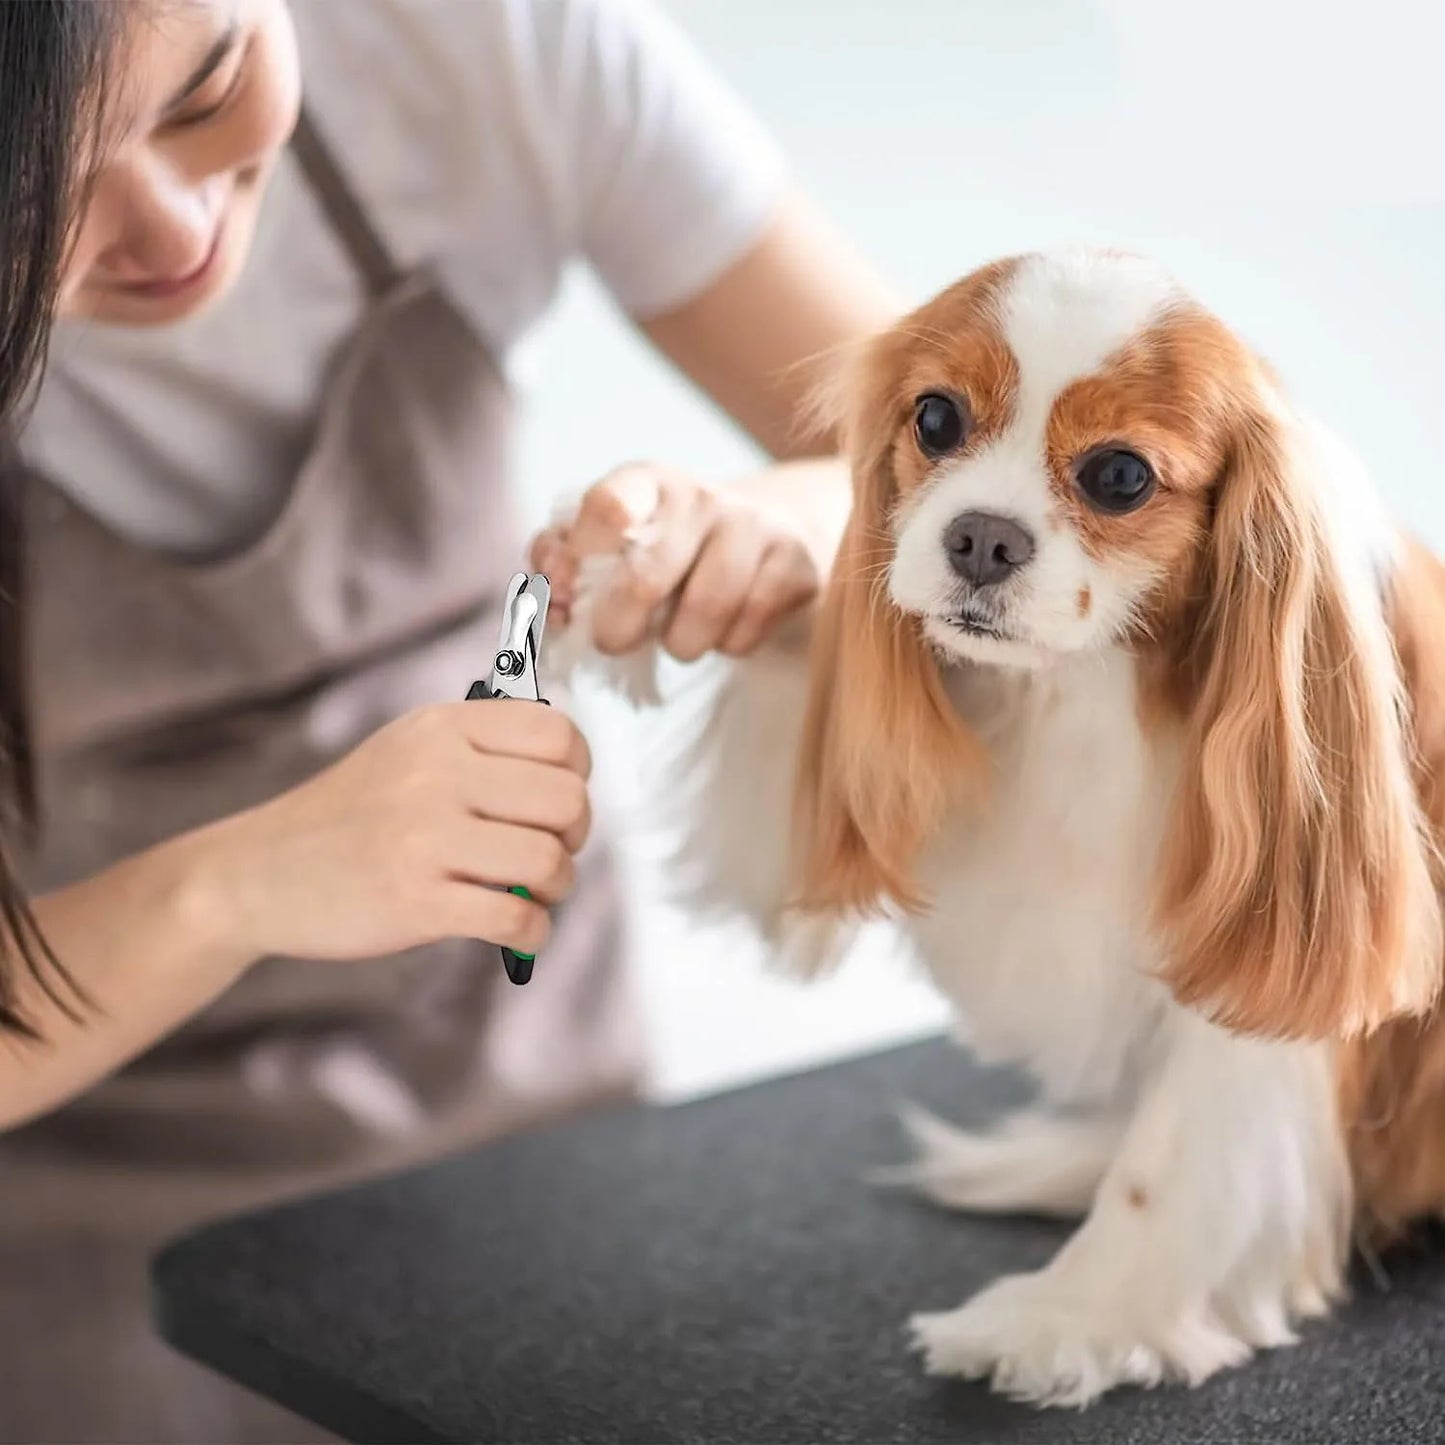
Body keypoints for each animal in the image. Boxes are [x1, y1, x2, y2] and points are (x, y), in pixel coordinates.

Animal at [546, 245, 1445, 1398]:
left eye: (1119, 477)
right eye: (934, 418)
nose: (981, 537)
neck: (1087, 686)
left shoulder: (1274, 950)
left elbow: (1171, 1160)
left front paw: (1063, 1316)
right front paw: (650, 565)